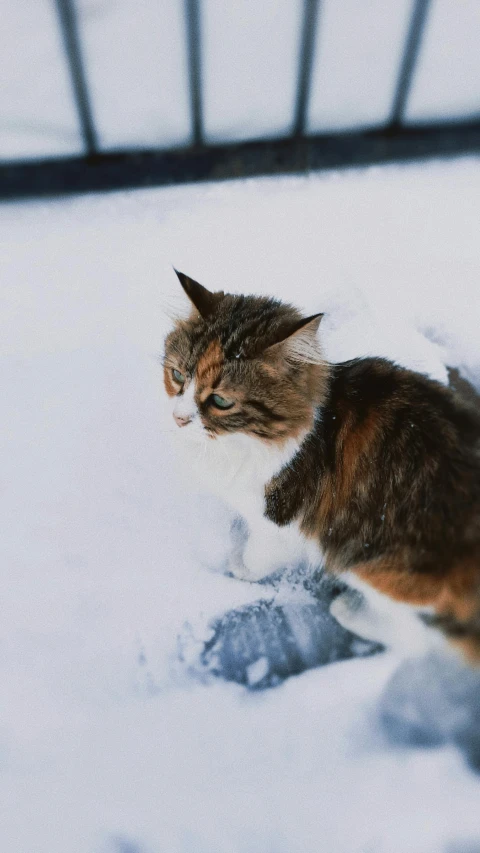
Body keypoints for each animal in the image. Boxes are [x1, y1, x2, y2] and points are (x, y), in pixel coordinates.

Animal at [164, 270, 480, 664]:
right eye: (178, 376)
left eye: (221, 401)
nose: (178, 419)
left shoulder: (279, 524)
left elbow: (259, 555)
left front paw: (241, 569)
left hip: (376, 567)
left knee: (415, 640)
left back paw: (349, 611)